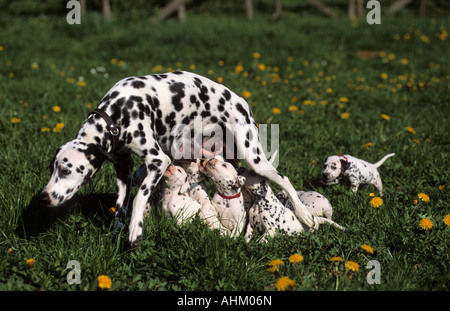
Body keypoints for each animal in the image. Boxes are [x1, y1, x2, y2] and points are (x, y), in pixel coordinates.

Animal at [38, 71, 314, 249]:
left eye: (67, 170)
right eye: (53, 168)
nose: (44, 197)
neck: (117, 113)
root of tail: (241, 101)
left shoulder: (157, 161)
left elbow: (138, 198)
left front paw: (135, 231)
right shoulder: (123, 169)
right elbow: (121, 204)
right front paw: (117, 230)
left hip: (254, 157)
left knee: (284, 179)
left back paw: (305, 215)